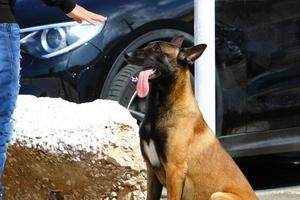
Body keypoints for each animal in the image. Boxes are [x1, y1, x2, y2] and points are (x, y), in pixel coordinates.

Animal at [124, 36, 258, 200]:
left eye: (157, 49)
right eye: (148, 46)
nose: (126, 54)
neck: (161, 109)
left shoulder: (174, 171)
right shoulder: (151, 171)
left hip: (217, 195)